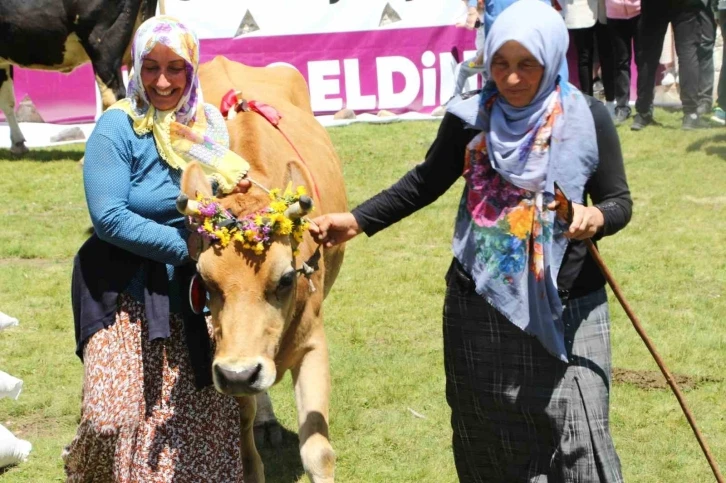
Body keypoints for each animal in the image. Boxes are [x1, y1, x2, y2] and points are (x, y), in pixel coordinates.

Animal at [179, 56, 346, 483]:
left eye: (286, 278)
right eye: (204, 281)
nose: (241, 374)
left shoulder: (313, 343)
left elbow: (318, 451)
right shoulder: (224, 358)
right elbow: (245, 440)